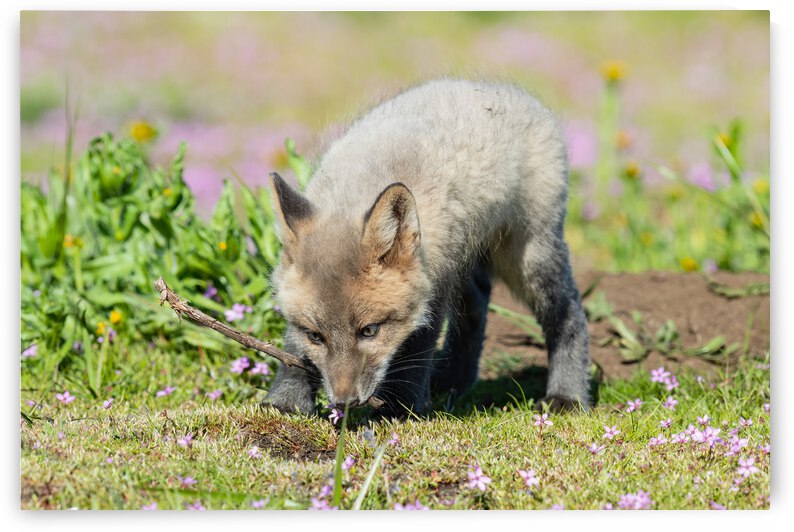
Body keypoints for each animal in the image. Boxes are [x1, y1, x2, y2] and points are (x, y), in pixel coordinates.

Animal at [264, 78, 590, 417]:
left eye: (370, 330)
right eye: (316, 336)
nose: (346, 403)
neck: (358, 189)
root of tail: (501, 89)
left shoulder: (434, 278)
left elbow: (417, 347)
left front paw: (398, 410)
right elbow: (295, 350)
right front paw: (286, 401)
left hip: (526, 257)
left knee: (569, 312)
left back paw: (567, 395)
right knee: (476, 303)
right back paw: (453, 381)